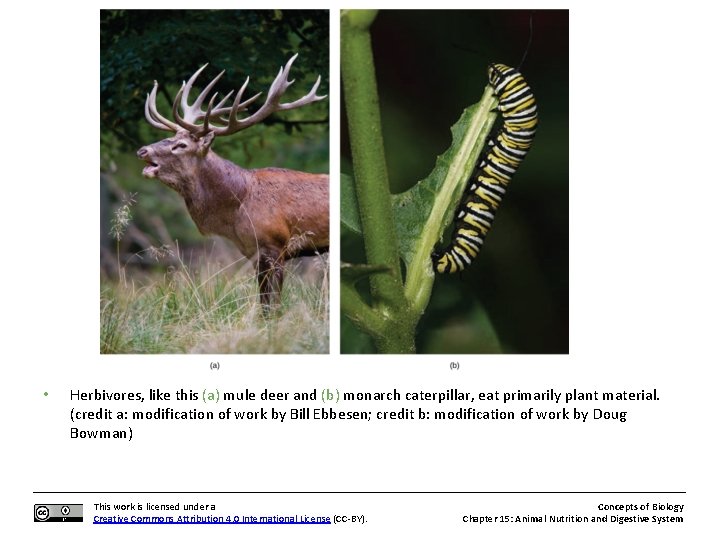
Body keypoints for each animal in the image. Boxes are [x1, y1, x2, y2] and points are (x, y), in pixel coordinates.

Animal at [136, 55, 329, 311]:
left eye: (181, 145)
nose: (142, 150)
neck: (238, 206)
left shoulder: (276, 246)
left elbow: (274, 306)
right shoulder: (254, 254)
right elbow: (263, 304)